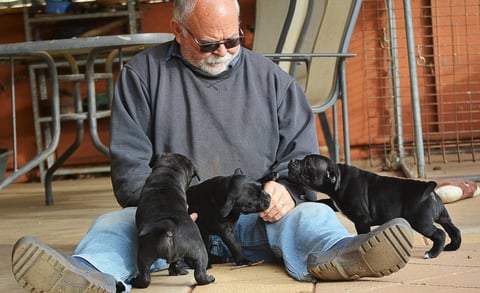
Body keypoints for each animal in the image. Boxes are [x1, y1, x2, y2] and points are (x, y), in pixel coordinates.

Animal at [130, 153, 215, 288]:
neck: (167, 175)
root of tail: (168, 227)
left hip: (145, 252)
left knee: (146, 275)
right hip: (199, 249)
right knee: (198, 270)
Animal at [286, 153, 464, 258]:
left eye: (308, 163)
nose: (292, 160)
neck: (339, 178)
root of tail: (430, 189)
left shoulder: (362, 220)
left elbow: (362, 234)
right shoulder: (336, 202)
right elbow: (325, 201)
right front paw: (305, 201)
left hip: (421, 222)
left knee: (439, 233)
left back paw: (432, 253)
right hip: (443, 217)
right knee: (454, 230)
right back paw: (452, 247)